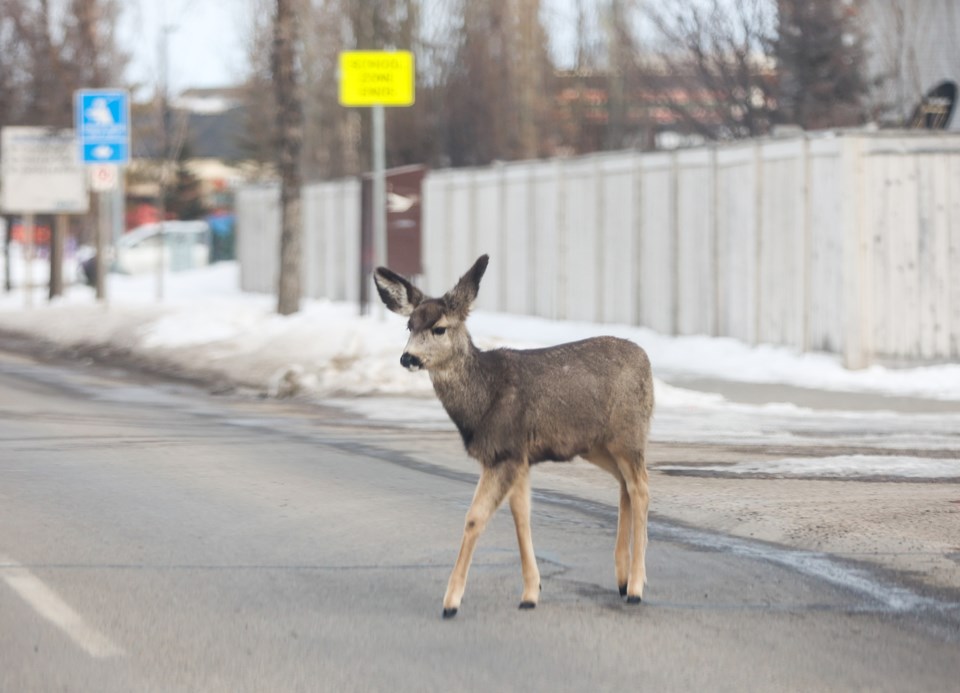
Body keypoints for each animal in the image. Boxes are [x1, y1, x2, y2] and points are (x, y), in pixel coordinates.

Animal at [374, 254, 652, 616]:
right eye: (409, 326)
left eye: (439, 328)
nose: (408, 357)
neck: (483, 397)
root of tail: (647, 360)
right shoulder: (517, 456)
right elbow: (521, 516)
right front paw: (531, 593)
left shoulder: (505, 452)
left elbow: (475, 518)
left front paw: (451, 601)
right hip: (597, 445)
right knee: (626, 485)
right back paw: (621, 578)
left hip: (628, 433)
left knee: (641, 488)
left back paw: (635, 587)